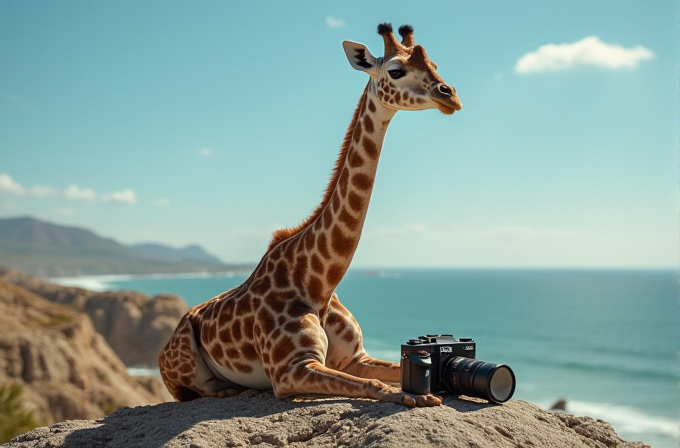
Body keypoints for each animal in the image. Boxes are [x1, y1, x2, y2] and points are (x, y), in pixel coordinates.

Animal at [159, 23, 462, 410]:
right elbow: (376, 385)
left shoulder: (355, 358)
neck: (319, 282)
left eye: (435, 64)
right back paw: (227, 389)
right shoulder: (291, 369)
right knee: (195, 390)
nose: (450, 96)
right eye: (396, 70)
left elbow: (391, 369)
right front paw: (415, 395)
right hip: (183, 356)